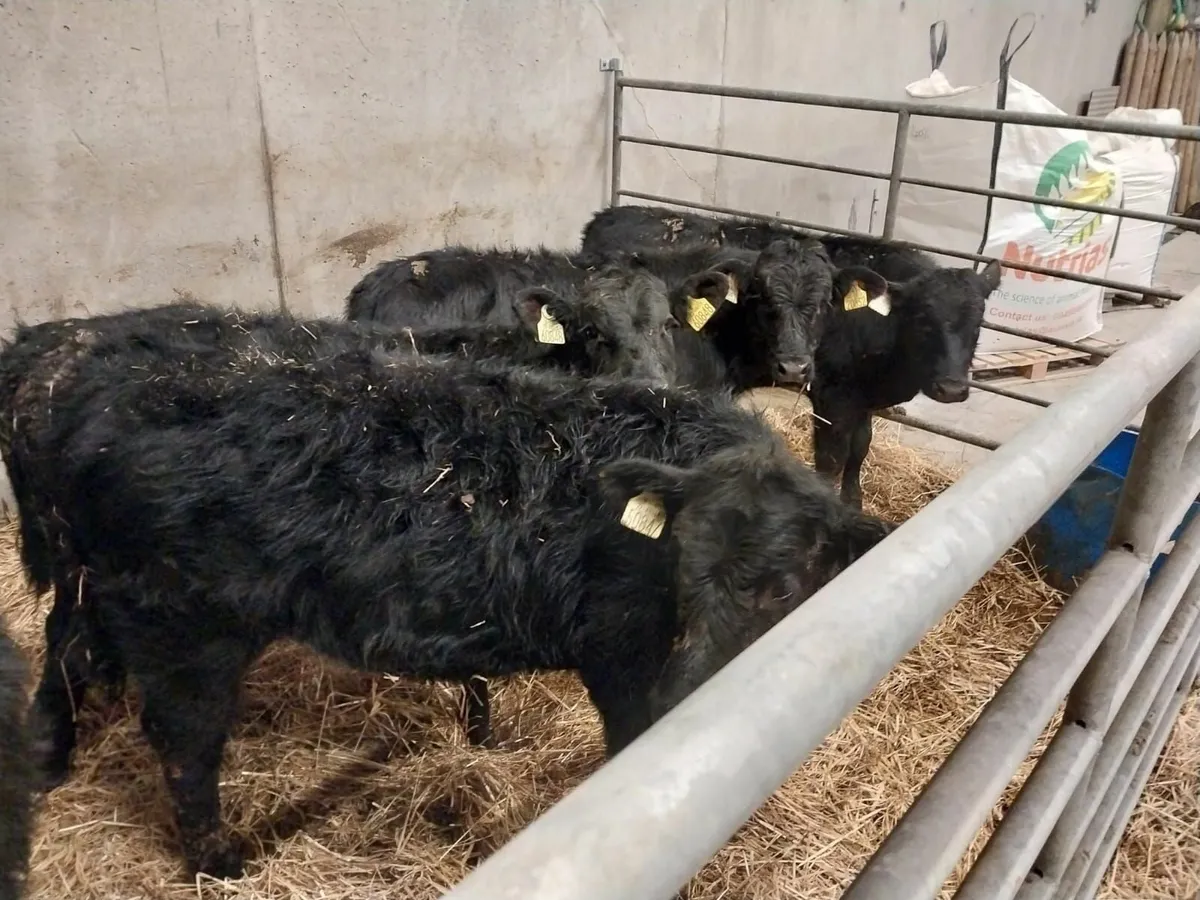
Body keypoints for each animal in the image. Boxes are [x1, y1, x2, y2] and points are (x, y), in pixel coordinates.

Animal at [0, 291, 702, 783]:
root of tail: (51, 342)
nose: (660, 380)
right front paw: (481, 732)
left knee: (69, 648)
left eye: (669, 323)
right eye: (596, 333)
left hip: (82, 574)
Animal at [30, 344, 892, 879]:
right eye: (680, 570)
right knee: (186, 744)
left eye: (781, 586)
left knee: (66, 657)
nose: (689, 696)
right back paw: (221, 864)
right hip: (183, 626)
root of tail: (95, 399)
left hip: (104, 599)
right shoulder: (619, 651)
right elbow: (632, 750)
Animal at [581, 204, 1002, 506]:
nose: (951, 389)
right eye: (924, 320)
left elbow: (860, 449)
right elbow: (832, 459)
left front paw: (854, 502)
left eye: (978, 323)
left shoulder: (860, 398)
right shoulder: (833, 397)